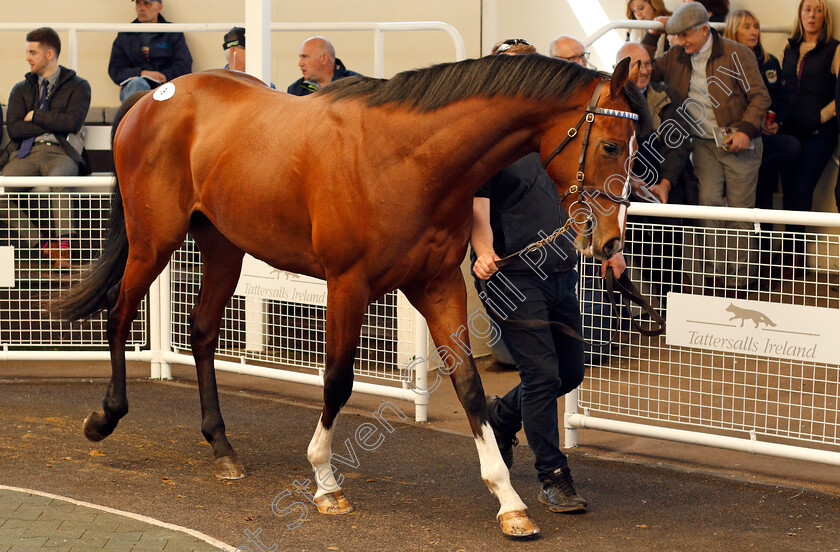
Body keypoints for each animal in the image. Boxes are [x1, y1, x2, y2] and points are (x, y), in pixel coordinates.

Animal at [52, 54, 644, 536]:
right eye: (611, 144)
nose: (610, 241)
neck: (408, 158)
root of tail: (153, 97)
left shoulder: (438, 284)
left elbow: (469, 385)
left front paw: (509, 501)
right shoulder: (347, 283)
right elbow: (337, 381)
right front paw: (325, 482)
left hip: (222, 245)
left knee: (200, 332)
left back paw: (222, 447)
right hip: (154, 240)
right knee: (118, 314)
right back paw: (104, 418)